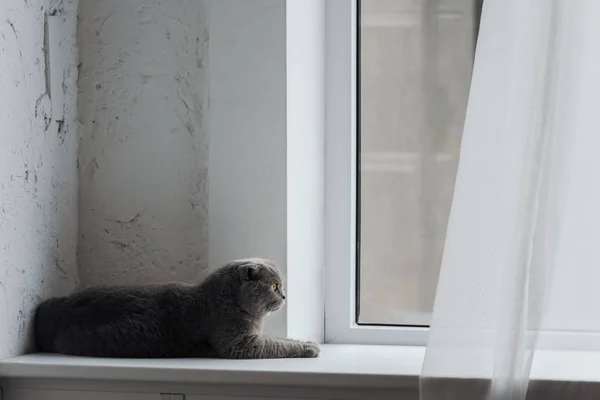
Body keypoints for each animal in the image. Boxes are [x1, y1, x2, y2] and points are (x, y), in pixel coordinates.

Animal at [35, 260, 322, 360]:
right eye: (274, 286)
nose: (284, 295)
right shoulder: (241, 343)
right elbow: (278, 344)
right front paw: (308, 346)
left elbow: (278, 338)